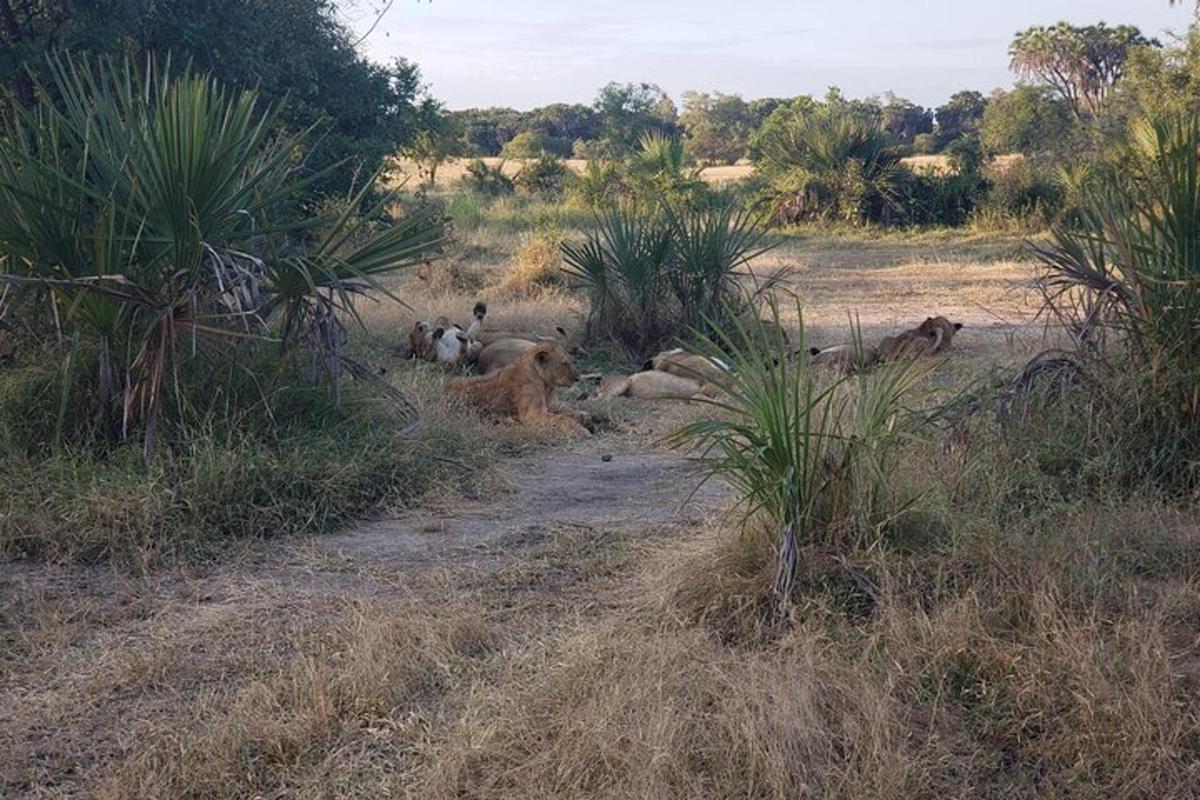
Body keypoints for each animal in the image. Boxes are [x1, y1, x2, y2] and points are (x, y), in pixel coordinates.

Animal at [446, 340, 590, 438]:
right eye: (564, 364)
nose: (577, 378)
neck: (547, 385)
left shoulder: (553, 404)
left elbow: (569, 410)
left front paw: (586, 417)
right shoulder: (533, 414)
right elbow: (562, 418)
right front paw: (582, 430)